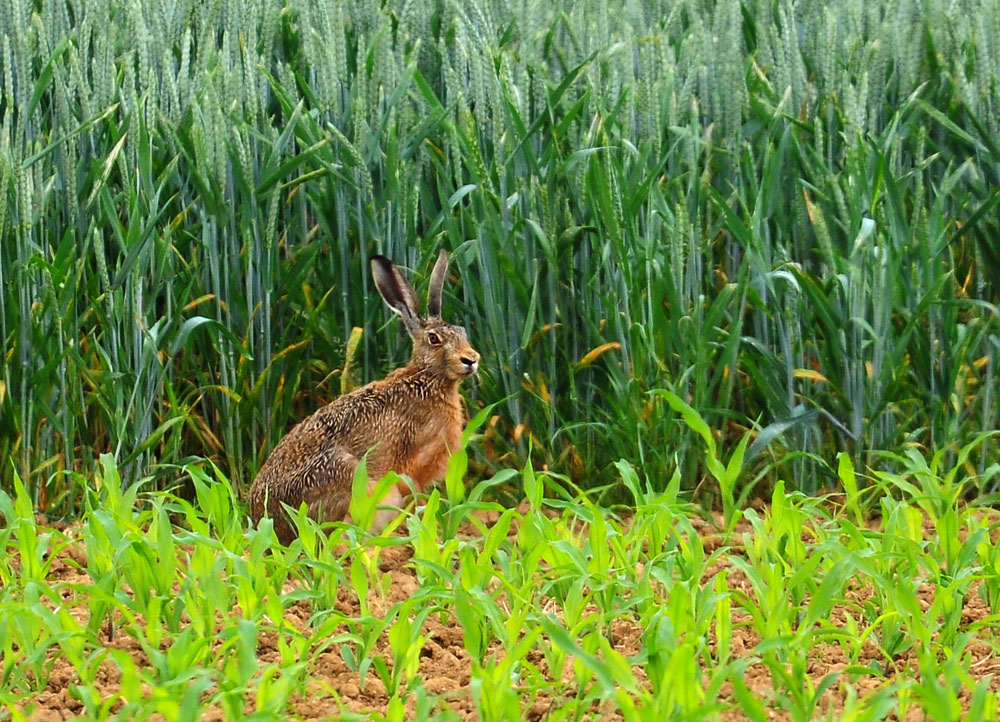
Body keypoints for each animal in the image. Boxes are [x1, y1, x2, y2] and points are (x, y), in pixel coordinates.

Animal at [248, 250, 480, 544]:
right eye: (434, 338)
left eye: (462, 331)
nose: (471, 359)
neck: (427, 378)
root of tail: (266, 524)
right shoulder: (414, 465)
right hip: (347, 474)